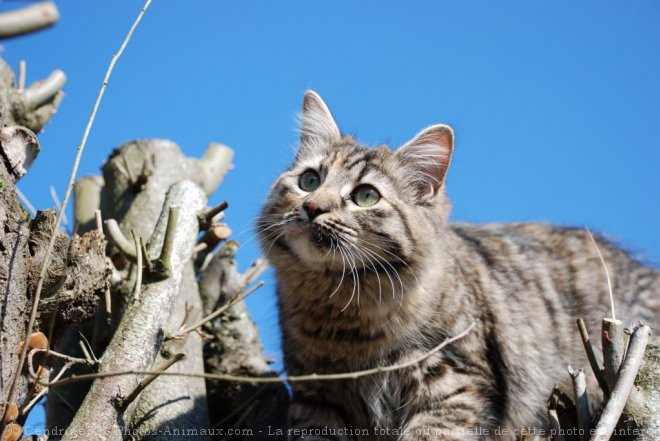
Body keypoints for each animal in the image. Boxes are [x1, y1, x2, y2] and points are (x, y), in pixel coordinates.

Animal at [255, 90, 656, 440]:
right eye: (310, 180)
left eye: (365, 196)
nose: (312, 207)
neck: (340, 314)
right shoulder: (317, 399)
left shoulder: (455, 385)